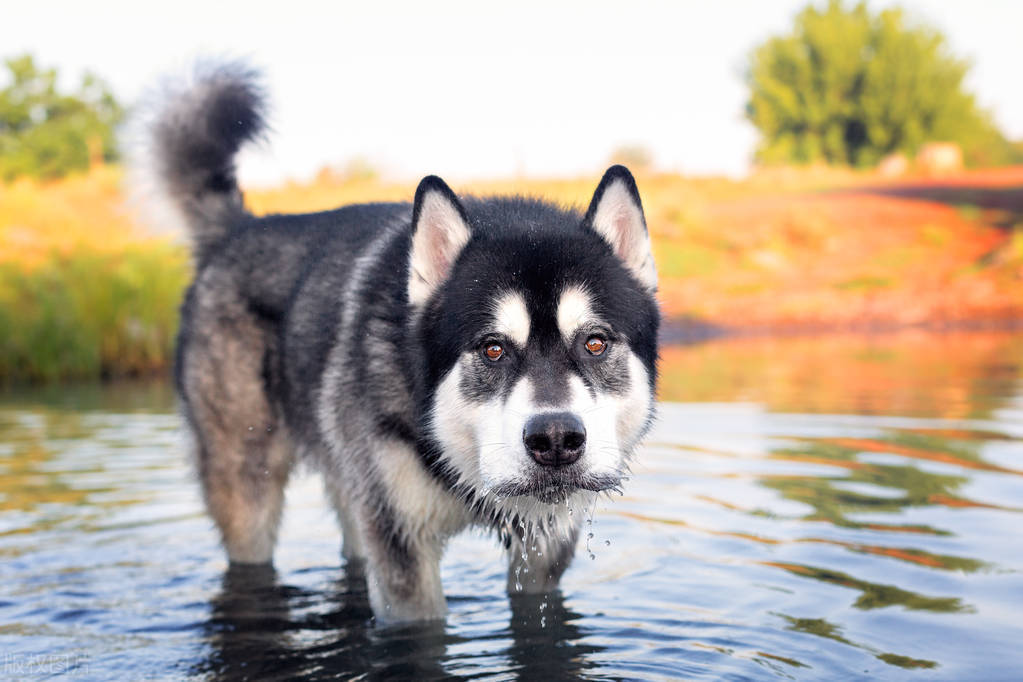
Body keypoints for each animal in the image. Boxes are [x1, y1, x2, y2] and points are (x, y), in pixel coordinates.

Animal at [142, 63, 654, 625]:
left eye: (595, 343)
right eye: (493, 348)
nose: (556, 438)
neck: (453, 458)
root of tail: (239, 230)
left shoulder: (543, 549)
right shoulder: (402, 549)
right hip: (249, 489)